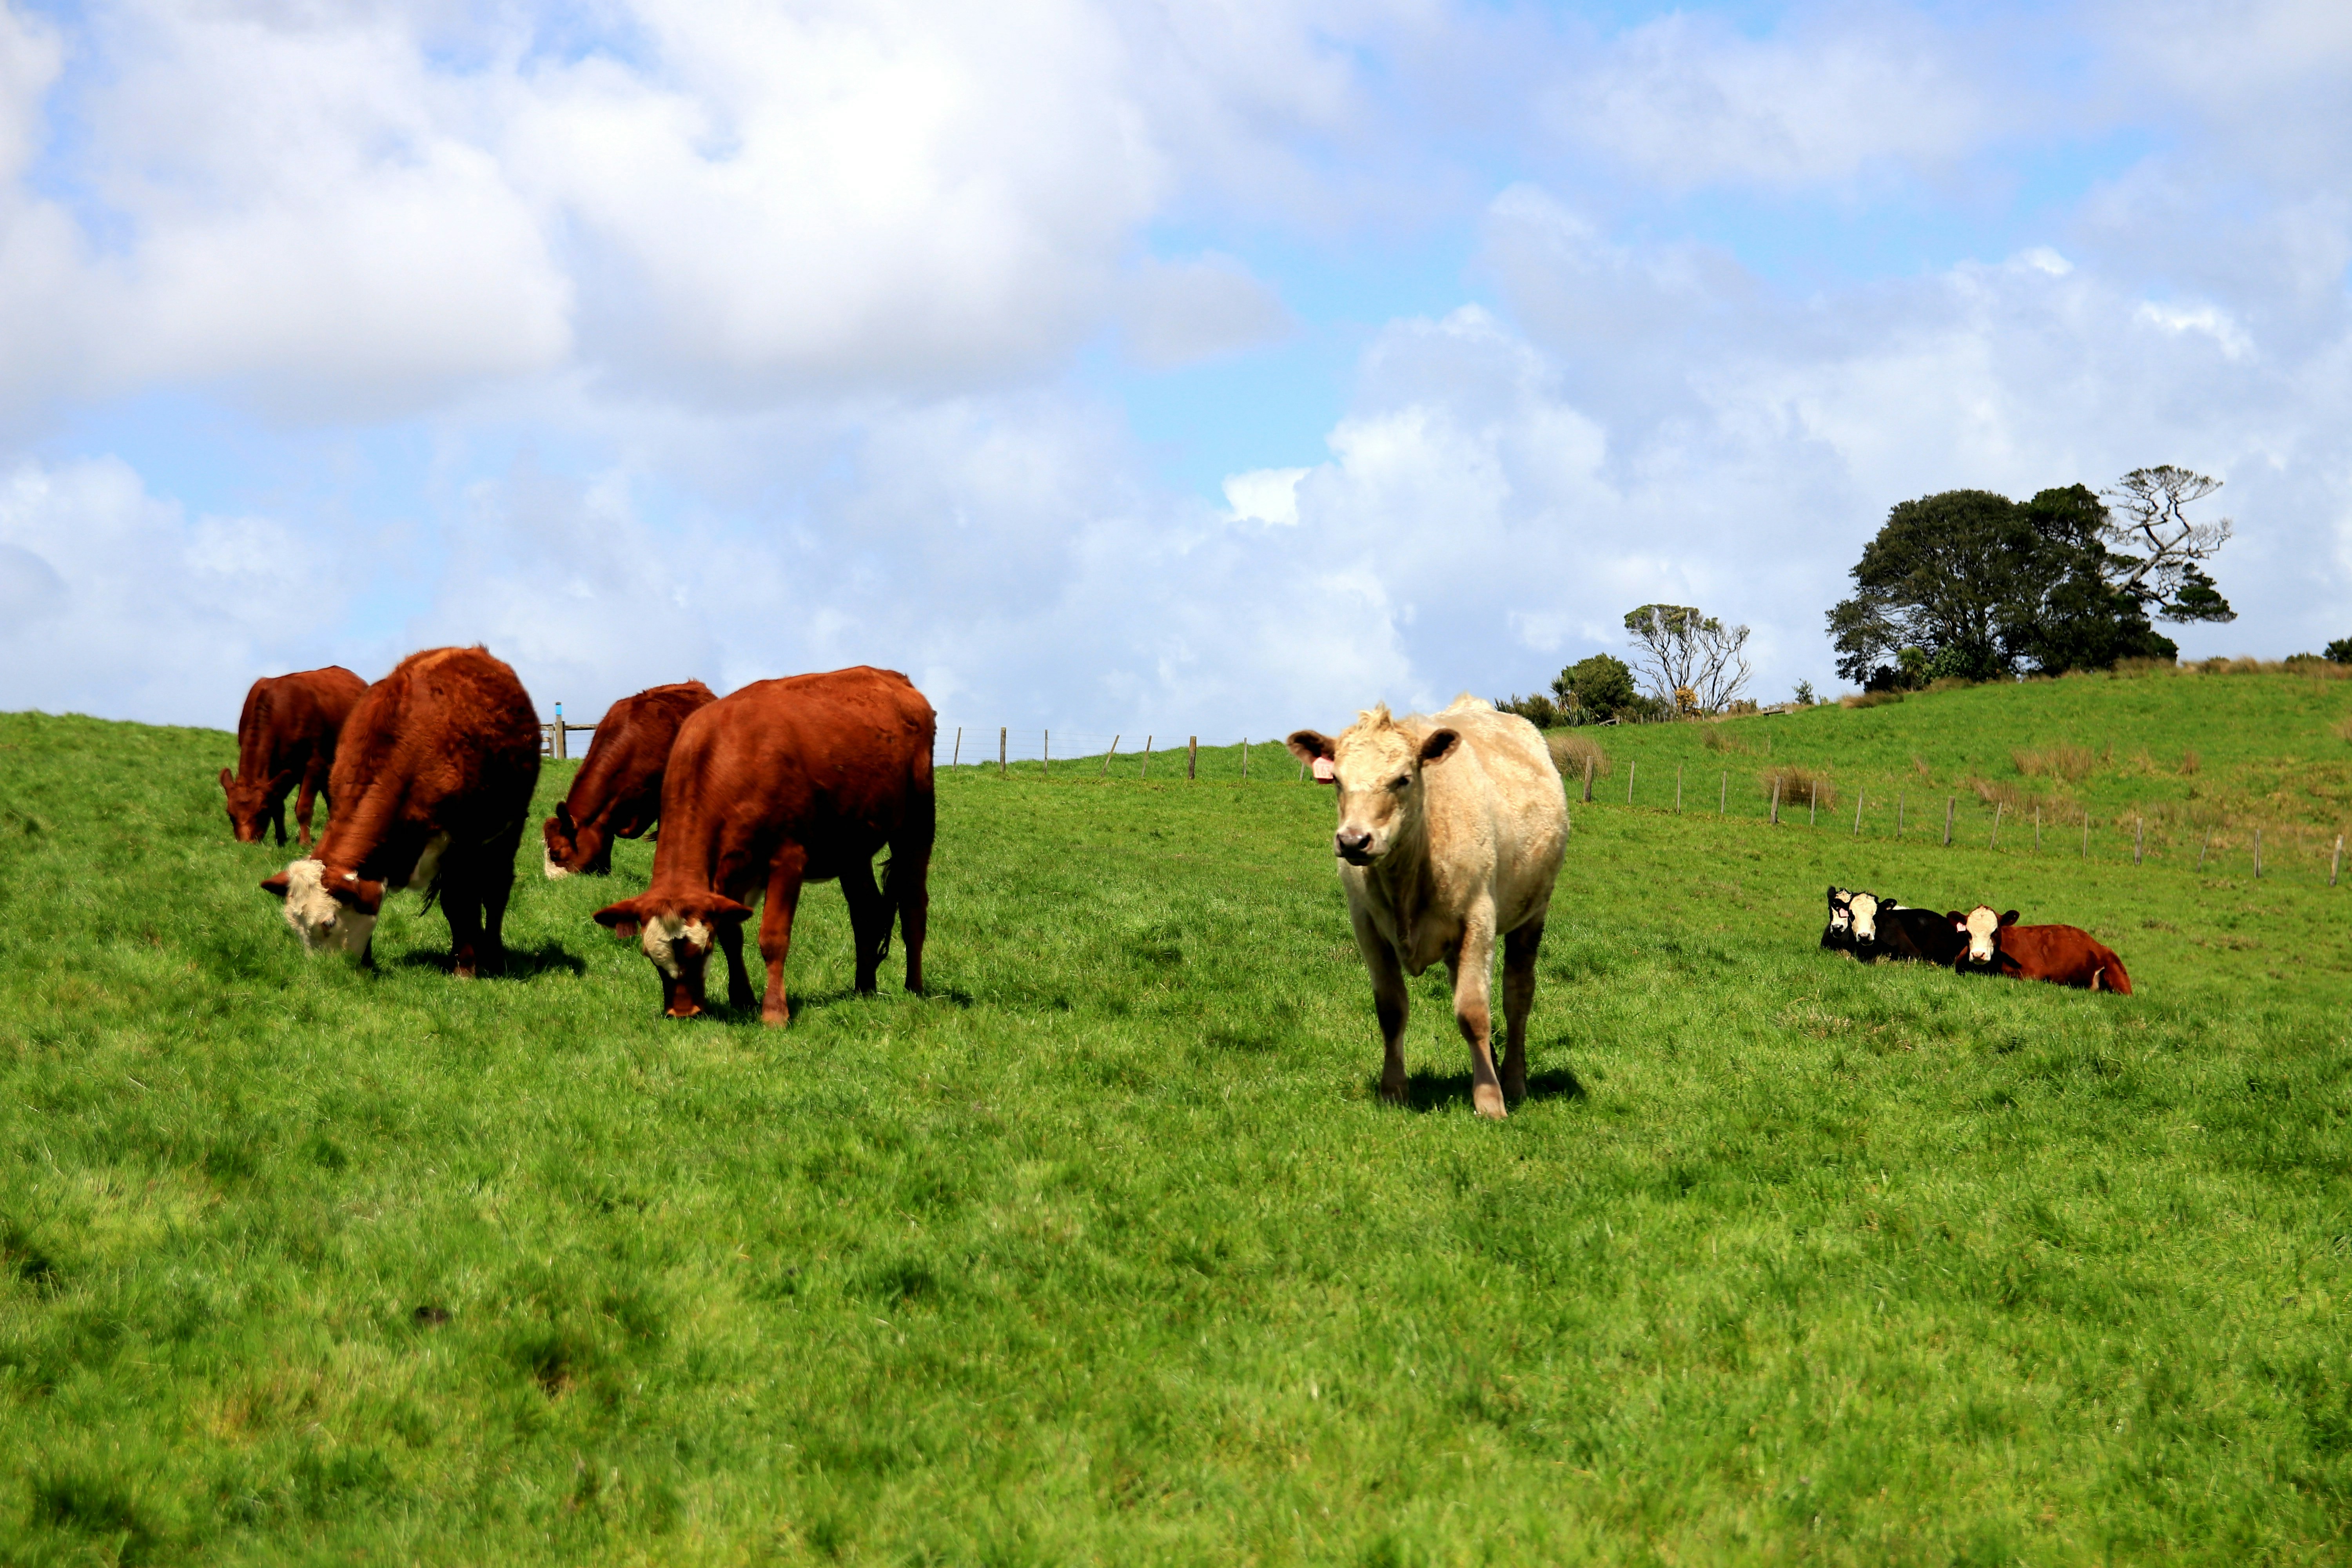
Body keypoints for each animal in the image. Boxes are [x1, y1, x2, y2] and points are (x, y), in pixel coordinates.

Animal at [219, 666, 368, 848]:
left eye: (262, 811)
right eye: (230, 813)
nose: (246, 844)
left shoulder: (314, 764)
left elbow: (303, 807)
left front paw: (305, 842)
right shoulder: (282, 771)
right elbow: (277, 805)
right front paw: (281, 839)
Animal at [261, 646, 540, 977]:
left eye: (329, 922)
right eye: (295, 925)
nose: (326, 975)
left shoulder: (462, 842)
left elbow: (460, 901)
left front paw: (466, 968)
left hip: (508, 828)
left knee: (497, 889)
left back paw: (493, 954)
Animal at [591, 666, 935, 1025]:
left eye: (703, 950)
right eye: (651, 956)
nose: (683, 1012)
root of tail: (895, 678)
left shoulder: (787, 859)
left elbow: (773, 938)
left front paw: (774, 1012)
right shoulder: (726, 874)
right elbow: (732, 935)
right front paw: (742, 998)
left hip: (917, 822)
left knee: (913, 906)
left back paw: (914, 987)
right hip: (852, 846)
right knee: (866, 911)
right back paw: (864, 988)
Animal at [1287, 697, 1567, 1121]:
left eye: (1403, 779)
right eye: (1336, 779)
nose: (1353, 840)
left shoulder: (1479, 919)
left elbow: (1473, 1012)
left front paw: (1489, 1099)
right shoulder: (1366, 925)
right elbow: (1391, 1010)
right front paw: (1393, 1089)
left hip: (1533, 913)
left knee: (1517, 996)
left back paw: (1514, 1080)